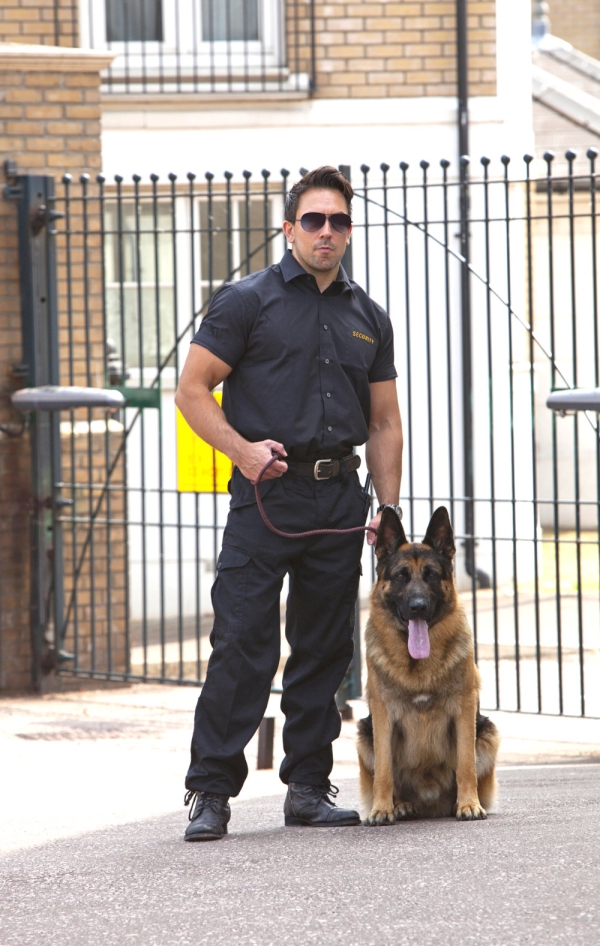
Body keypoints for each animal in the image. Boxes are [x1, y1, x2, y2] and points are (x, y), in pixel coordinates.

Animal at [356, 506, 502, 824]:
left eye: (431, 575)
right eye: (401, 576)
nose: (418, 607)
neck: (418, 666)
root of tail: (429, 804)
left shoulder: (464, 710)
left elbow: (465, 765)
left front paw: (469, 804)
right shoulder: (383, 717)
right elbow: (384, 771)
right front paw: (382, 808)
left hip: (488, 733)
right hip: (364, 735)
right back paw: (399, 805)